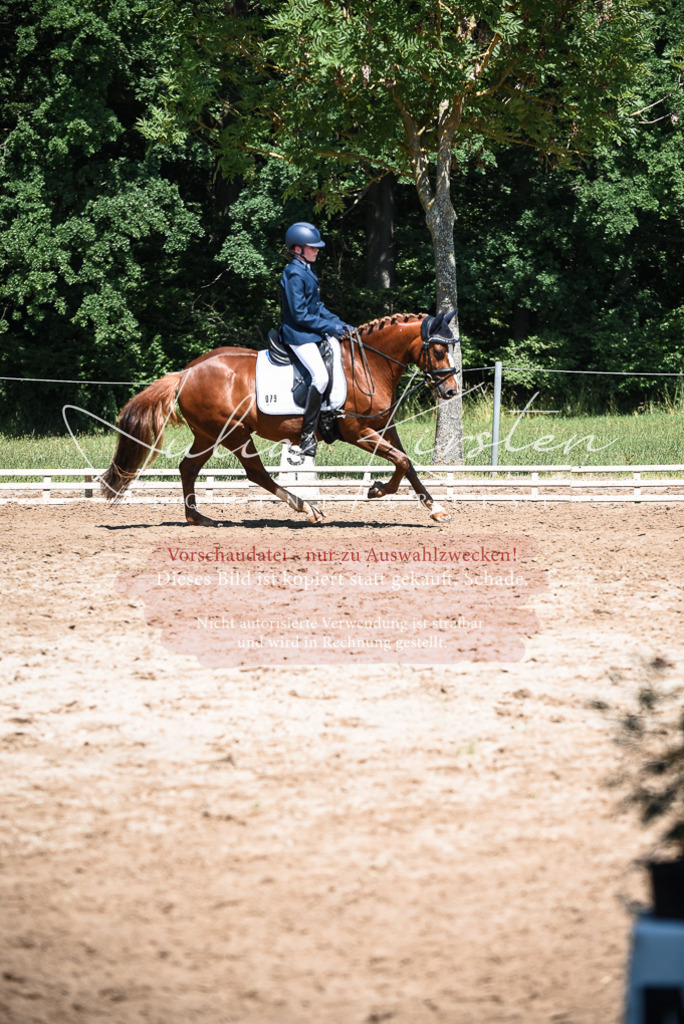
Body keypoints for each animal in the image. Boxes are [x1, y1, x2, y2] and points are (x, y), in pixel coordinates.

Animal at [100, 311, 459, 525]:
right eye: (439, 350)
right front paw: (378, 490)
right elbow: (401, 460)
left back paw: (198, 518)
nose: (451, 391)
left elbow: (406, 463)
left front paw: (431, 506)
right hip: (234, 432)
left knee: (188, 468)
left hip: (208, 435)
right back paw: (307, 509)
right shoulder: (357, 431)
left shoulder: (384, 426)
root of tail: (186, 373)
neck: (366, 364)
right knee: (255, 473)